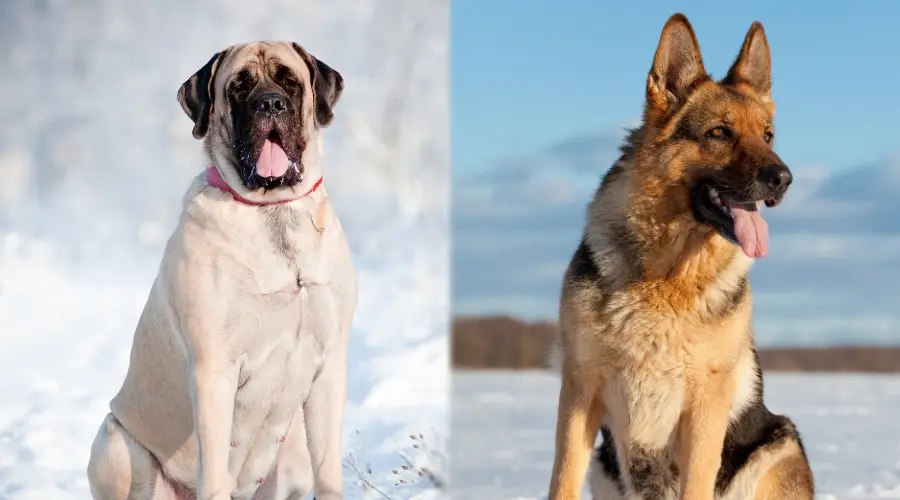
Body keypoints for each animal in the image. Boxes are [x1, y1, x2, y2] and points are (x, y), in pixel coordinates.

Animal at [86, 40, 356, 500]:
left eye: (289, 81)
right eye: (239, 86)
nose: (270, 103)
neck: (273, 212)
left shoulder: (329, 365)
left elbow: (329, 473)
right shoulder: (213, 369)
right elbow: (213, 470)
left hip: (294, 453)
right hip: (114, 443)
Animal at [548, 13, 816, 500]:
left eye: (768, 136)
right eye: (718, 133)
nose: (783, 178)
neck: (669, 276)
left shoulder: (704, 407)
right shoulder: (579, 392)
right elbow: (561, 482)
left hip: (778, 443)